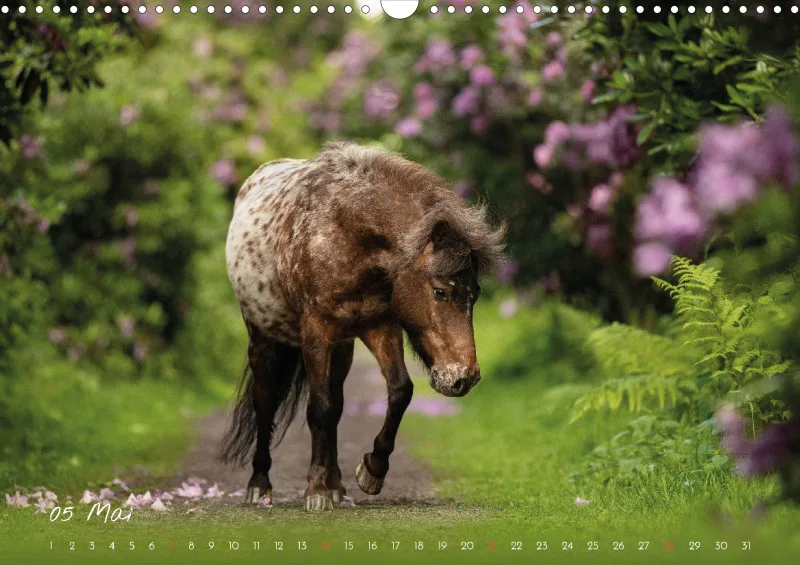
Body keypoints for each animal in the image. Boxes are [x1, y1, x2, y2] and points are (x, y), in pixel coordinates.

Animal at [221, 141, 505, 511]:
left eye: (476, 294)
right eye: (440, 292)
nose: (464, 378)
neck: (345, 232)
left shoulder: (380, 327)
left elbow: (399, 391)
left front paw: (371, 471)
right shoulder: (315, 332)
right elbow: (318, 408)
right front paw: (316, 490)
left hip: (343, 348)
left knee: (338, 403)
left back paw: (336, 484)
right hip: (262, 337)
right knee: (265, 400)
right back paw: (259, 485)